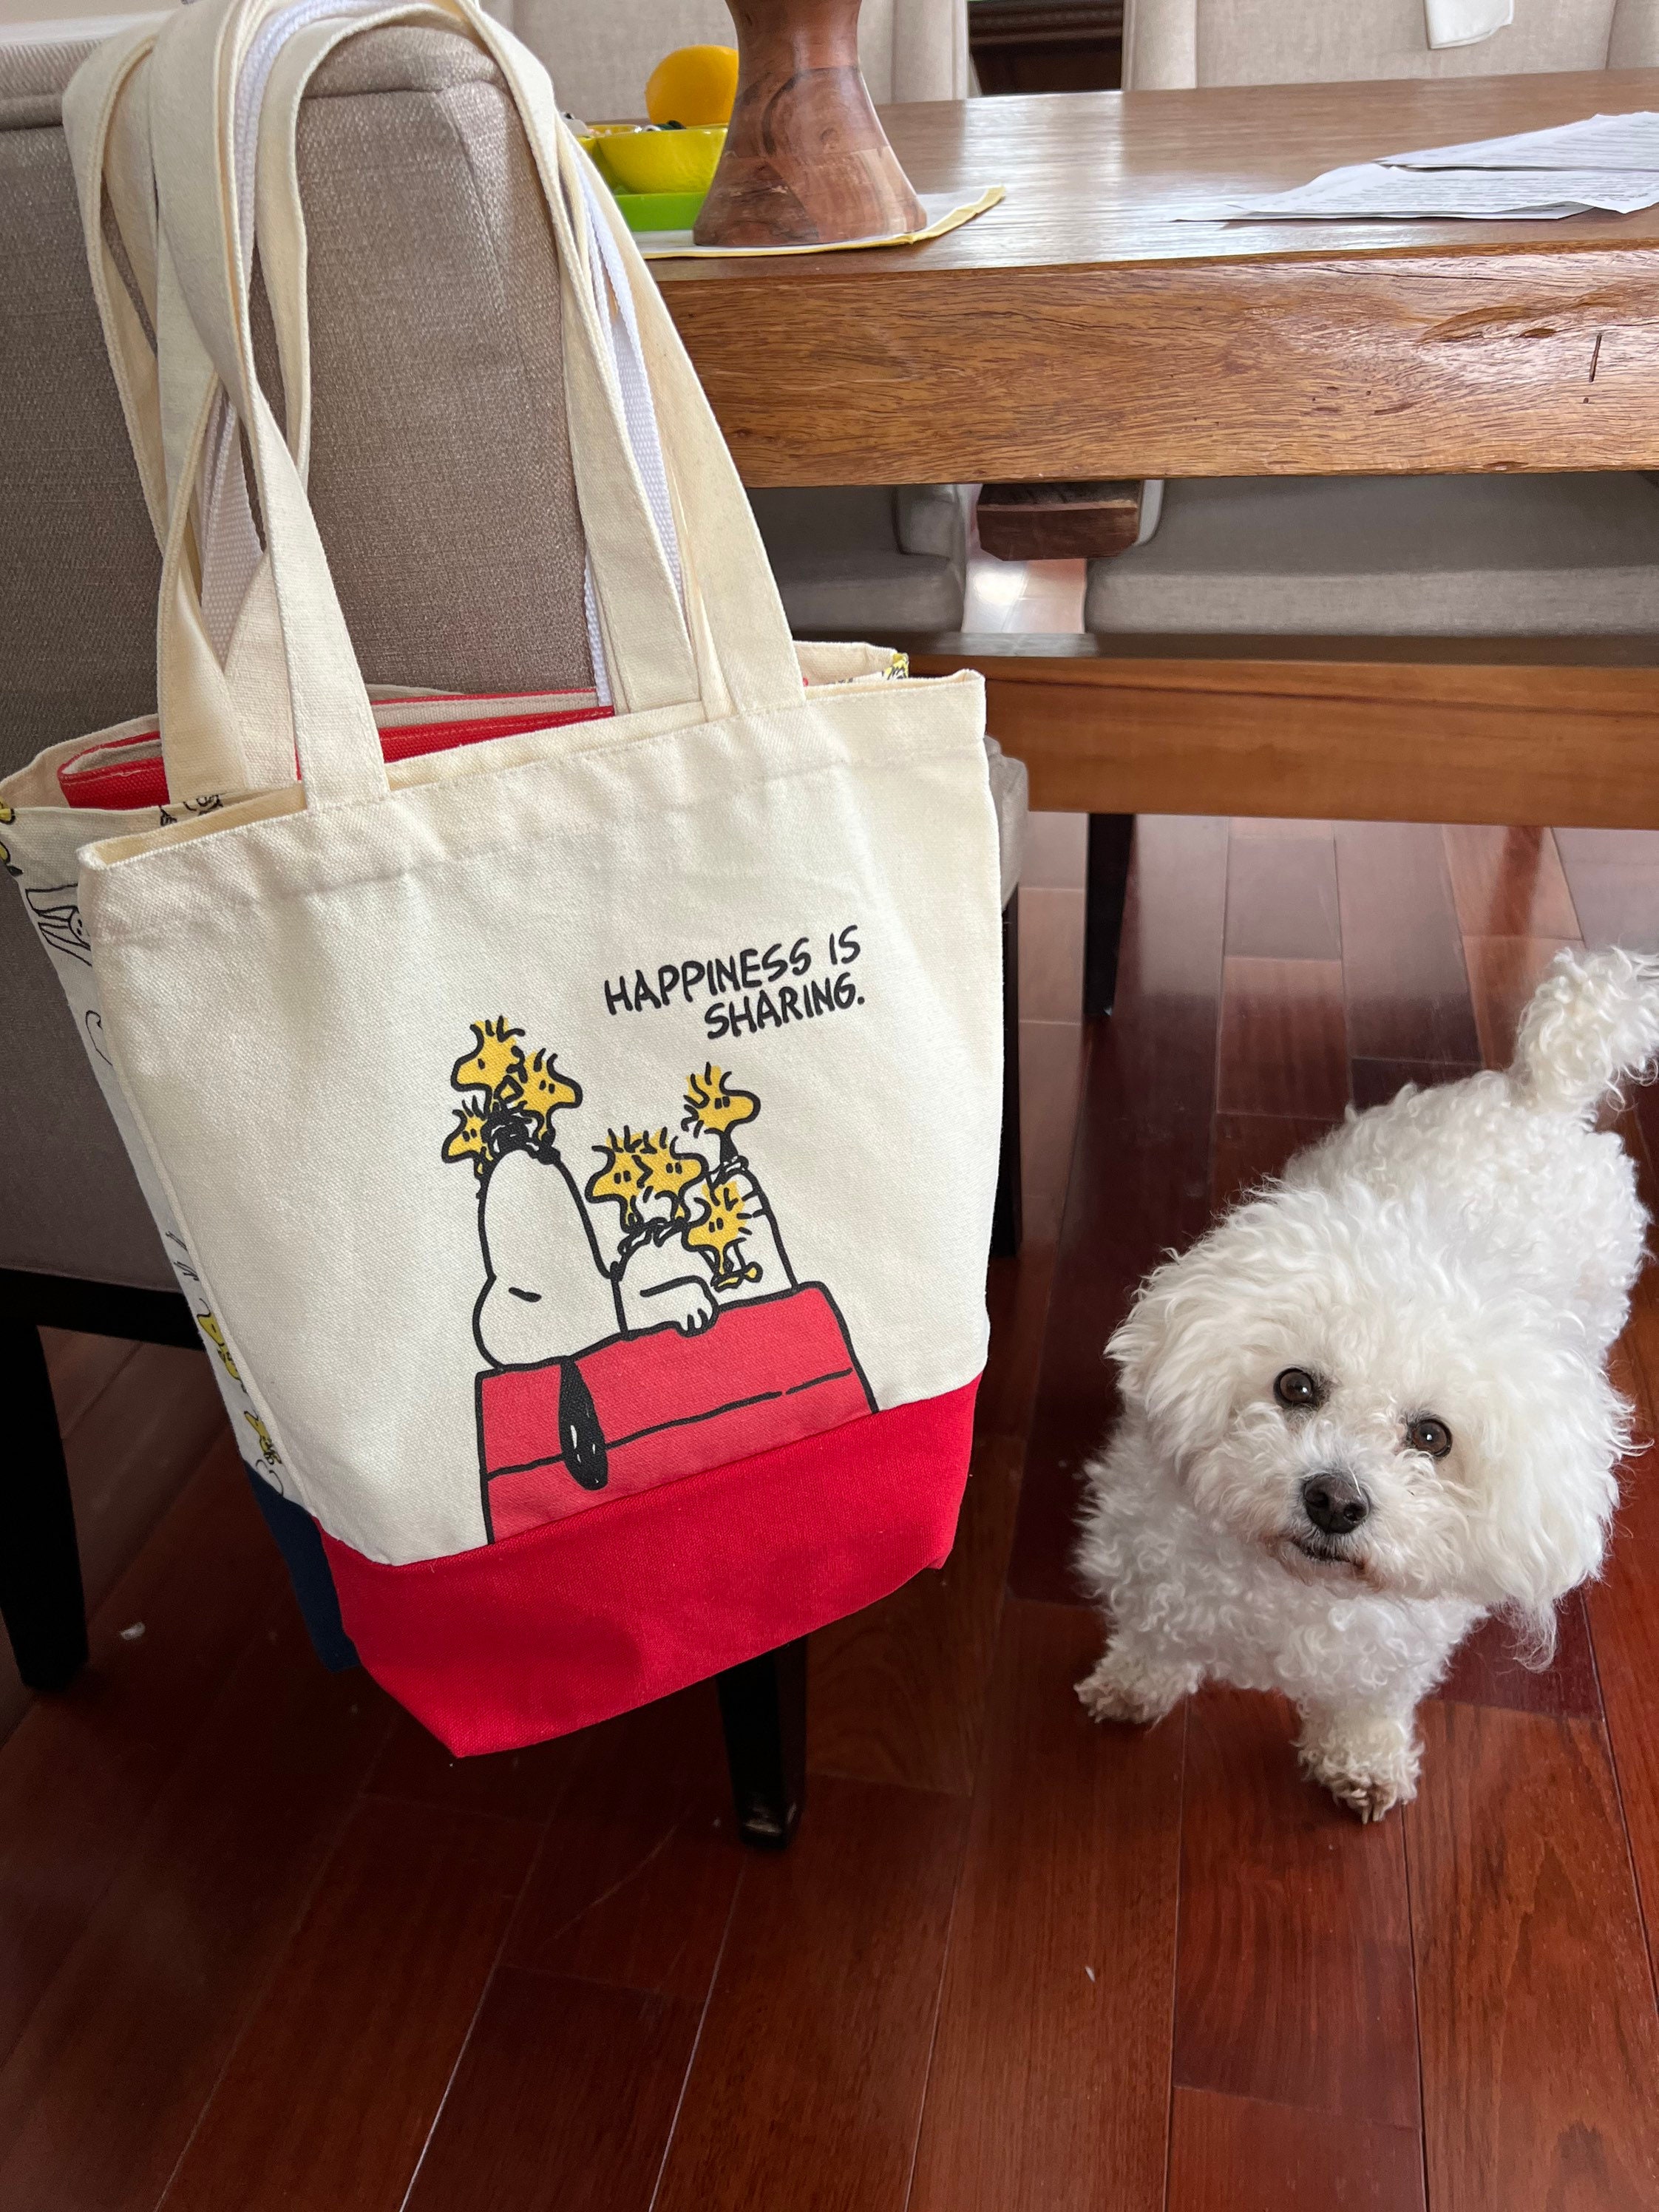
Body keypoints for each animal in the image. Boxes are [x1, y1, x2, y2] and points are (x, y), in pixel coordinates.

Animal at [1079, 942, 1659, 1822]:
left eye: (1431, 1437)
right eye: (1295, 1387)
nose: (1335, 1500)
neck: (1287, 1583)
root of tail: (1545, 1100)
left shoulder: (1394, 1650)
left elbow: (1367, 1702)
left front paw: (1363, 1761)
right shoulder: (1154, 1572)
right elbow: (1154, 1638)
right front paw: (1132, 1684)